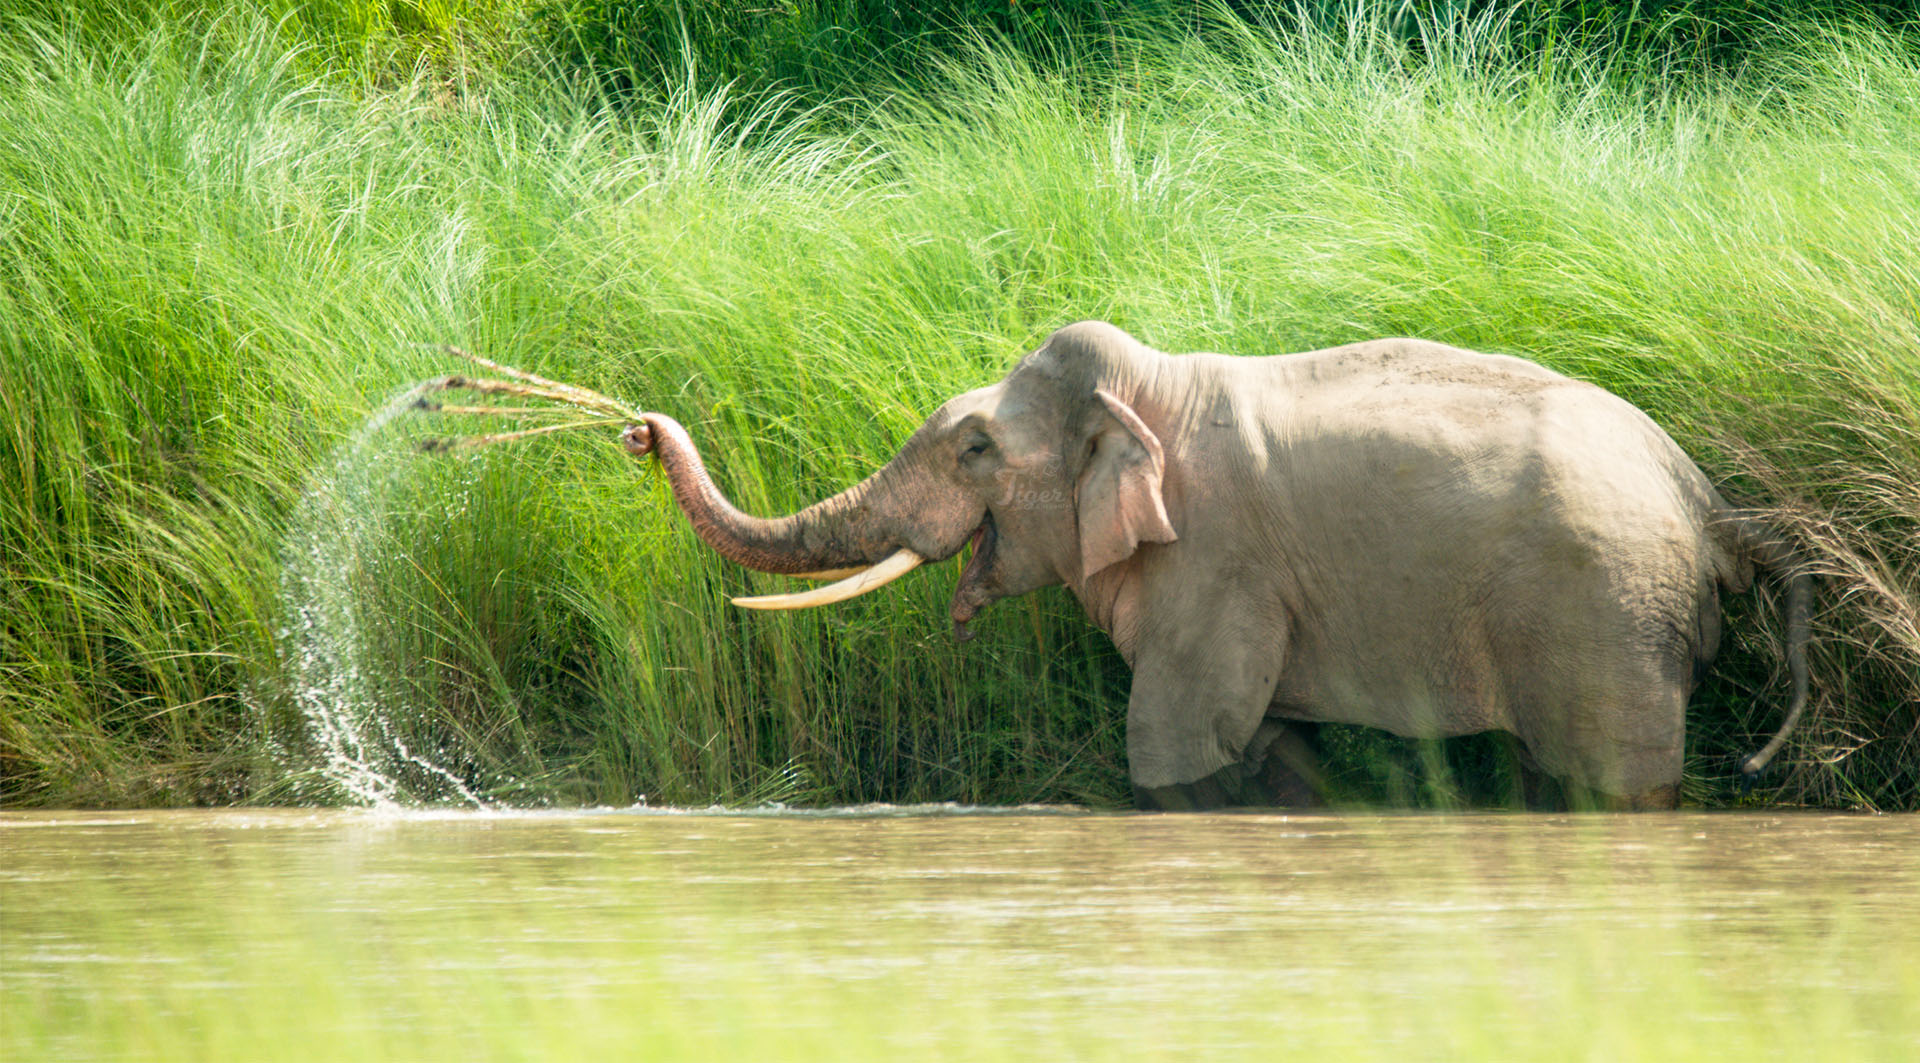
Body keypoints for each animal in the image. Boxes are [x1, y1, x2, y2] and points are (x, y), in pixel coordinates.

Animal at [621, 321, 1812, 810]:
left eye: (974, 451)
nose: (636, 427)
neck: (1150, 389)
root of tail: (1712, 505)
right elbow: (1273, 751)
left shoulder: (1217, 559)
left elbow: (1176, 746)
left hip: (1602, 607)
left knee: (1608, 776)